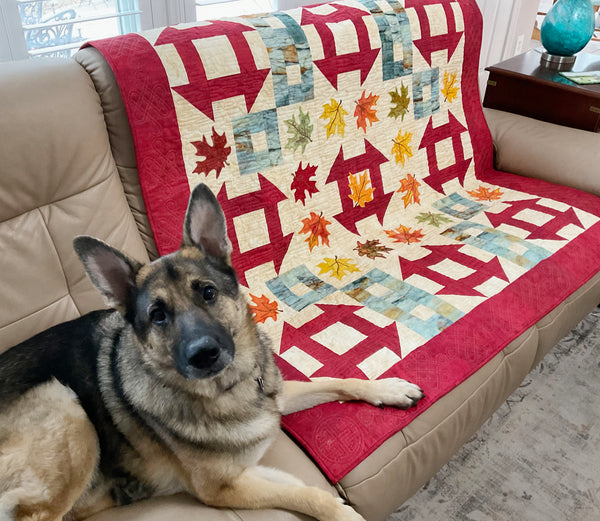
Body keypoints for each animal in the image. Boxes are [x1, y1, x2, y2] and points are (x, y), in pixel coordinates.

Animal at [0, 183, 424, 521]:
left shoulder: (275, 402)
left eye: (207, 292)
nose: (203, 355)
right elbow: (309, 495)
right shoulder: (226, 488)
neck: (228, 391)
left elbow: (337, 380)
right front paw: (343, 513)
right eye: (158, 315)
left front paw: (388, 389)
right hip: (63, 403)